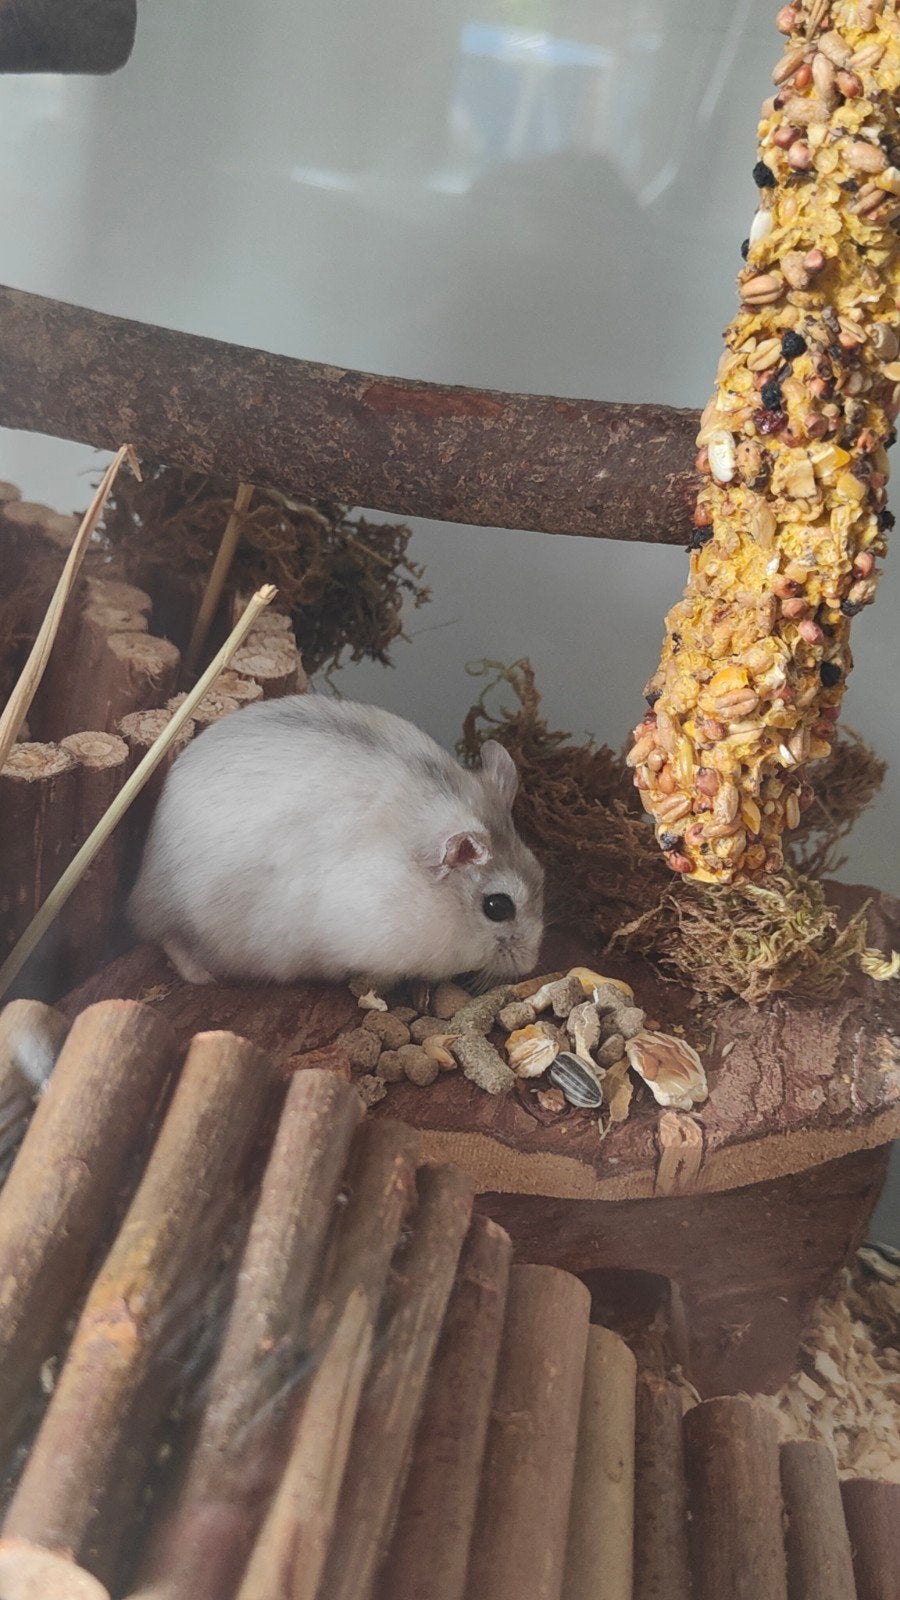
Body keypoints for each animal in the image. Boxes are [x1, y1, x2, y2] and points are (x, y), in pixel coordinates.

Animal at [127, 695, 544, 989]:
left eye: (541, 871)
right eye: (498, 907)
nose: (531, 964)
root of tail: (140, 886)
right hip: (190, 919)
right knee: (169, 939)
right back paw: (203, 976)